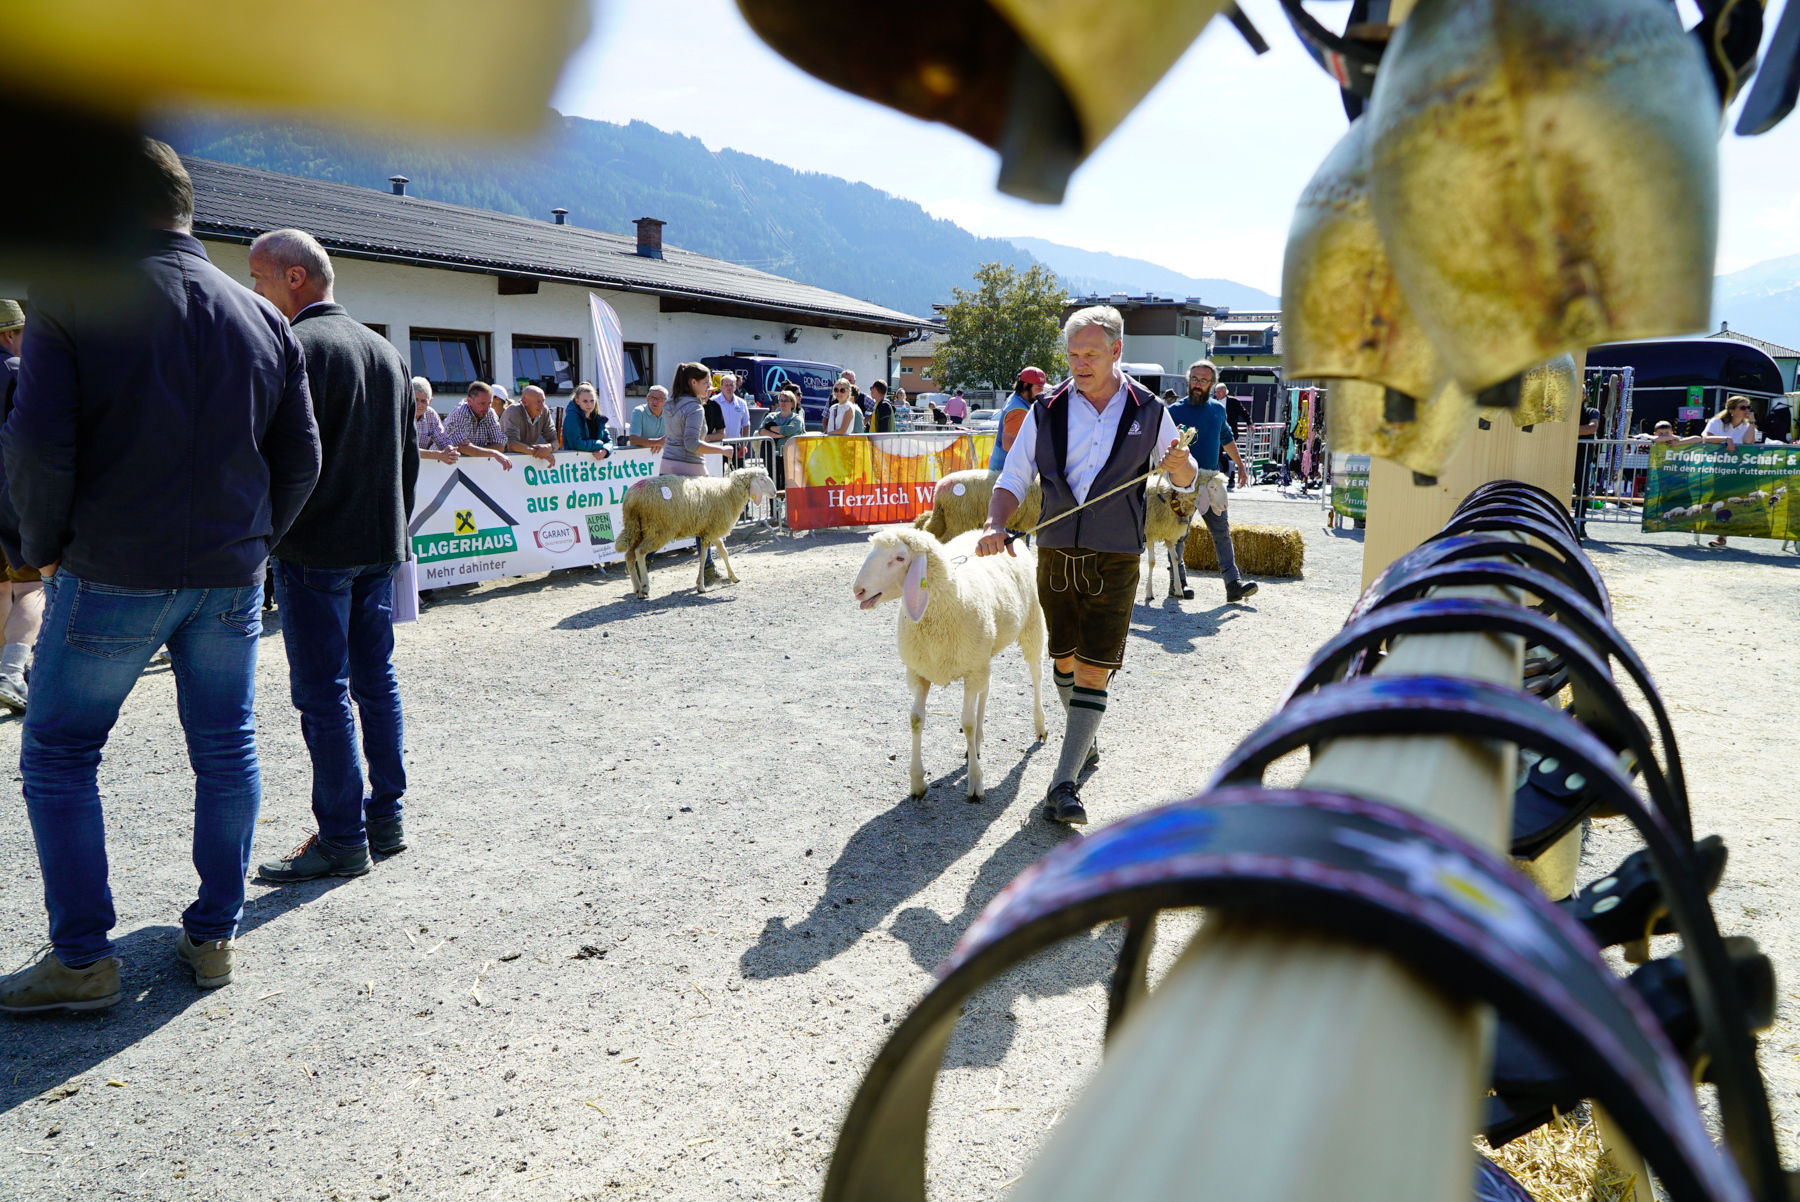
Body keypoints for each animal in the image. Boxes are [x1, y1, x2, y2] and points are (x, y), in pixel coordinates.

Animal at [615, 467, 777, 601]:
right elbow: (704, 557)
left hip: (637, 528)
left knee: (629, 555)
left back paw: (637, 589)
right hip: (658, 529)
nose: (775, 492)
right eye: (762, 479)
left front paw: (733, 577)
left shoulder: (710, 530)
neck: (728, 493)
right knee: (640, 552)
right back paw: (644, 587)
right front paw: (702, 586)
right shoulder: (711, 531)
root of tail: (632, 497)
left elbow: (722, 552)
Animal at [849, 529, 1051, 802]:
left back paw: (1039, 726)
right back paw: (977, 742)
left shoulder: (971, 668)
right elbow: (916, 720)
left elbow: (967, 723)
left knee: (1036, 674)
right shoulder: (920, 672)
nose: (858, 590)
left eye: (900, 558)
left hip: (1031, 624)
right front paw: (917, 782)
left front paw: (975, 781)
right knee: (986, 688)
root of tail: (1007, 535)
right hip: (984, 653)